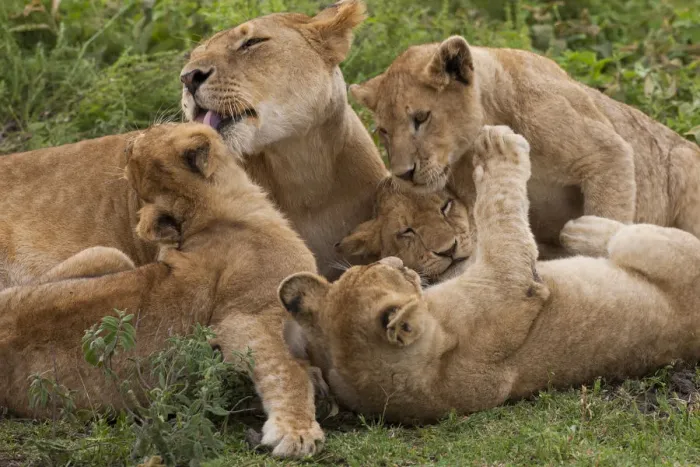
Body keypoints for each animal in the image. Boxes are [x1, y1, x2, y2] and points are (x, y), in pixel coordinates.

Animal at [0, 123, 325, 457]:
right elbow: (284, 369)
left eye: (151, 134)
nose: (130, 139)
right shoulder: (246, 317)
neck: (209, 217)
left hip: (106, 255)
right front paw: (297, 433)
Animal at [349, 36, 700, 256]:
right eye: (383, 131)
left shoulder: (607, 154)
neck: (492, 114)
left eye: (421, 118)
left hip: (684, 159)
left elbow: (607, 210)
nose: (402, 174)